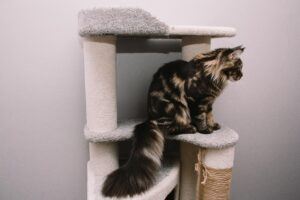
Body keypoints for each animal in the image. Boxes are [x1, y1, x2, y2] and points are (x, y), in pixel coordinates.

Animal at [102, 45, 245, 197]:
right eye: (239, 67)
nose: (242, 75)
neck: (211, 73)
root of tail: (150, 118)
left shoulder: (208, 102)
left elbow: (210, 114)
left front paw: (214, 125)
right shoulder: (196, 100)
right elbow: (200, 116)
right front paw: (205, 130)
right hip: (177, 107)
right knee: (173, 130)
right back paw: (190, 128)